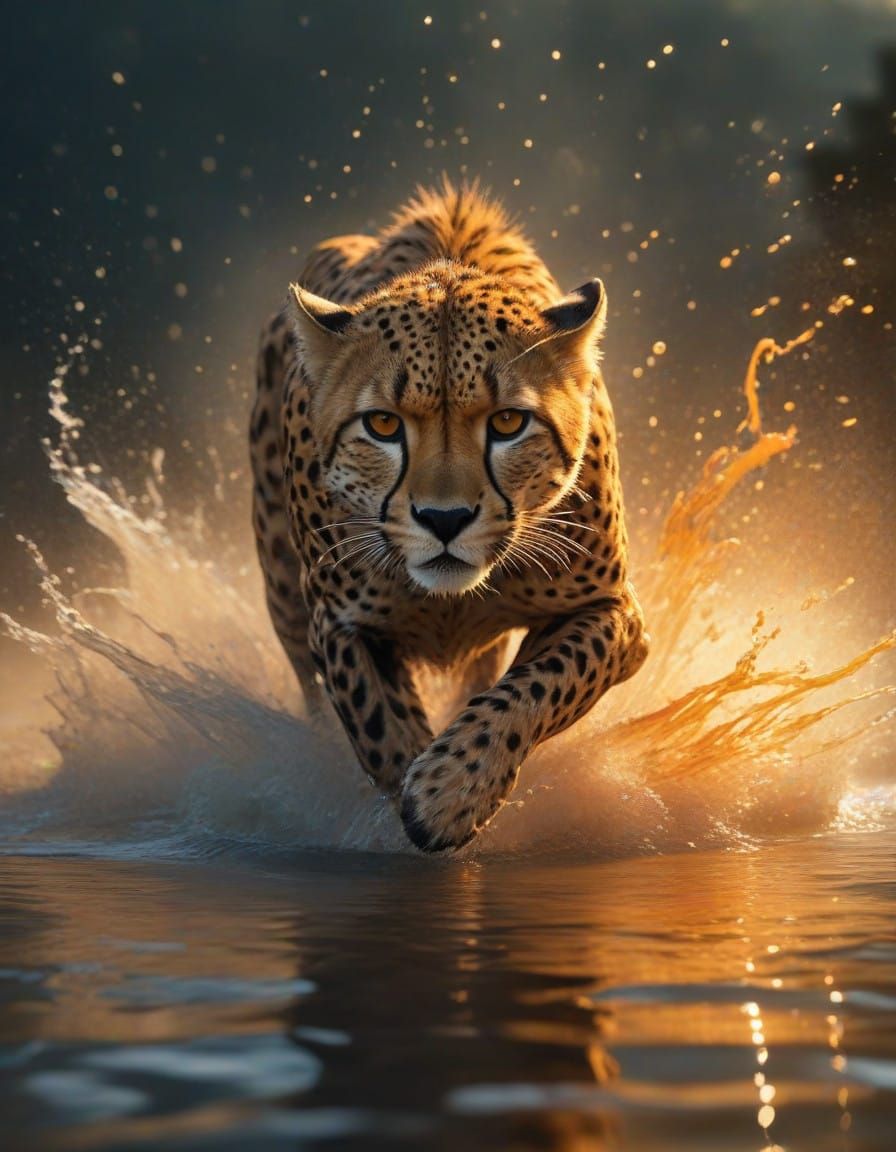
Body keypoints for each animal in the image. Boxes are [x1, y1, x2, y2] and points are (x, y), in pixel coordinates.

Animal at [250, 180, 648, 853]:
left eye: (508, 422)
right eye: (383, 425)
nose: (444, 519)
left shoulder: (612, 609)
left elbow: (540, 684)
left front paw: (452, 790)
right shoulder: (338, 623)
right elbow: (376, 723)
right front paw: (410, 788)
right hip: (282, 594)